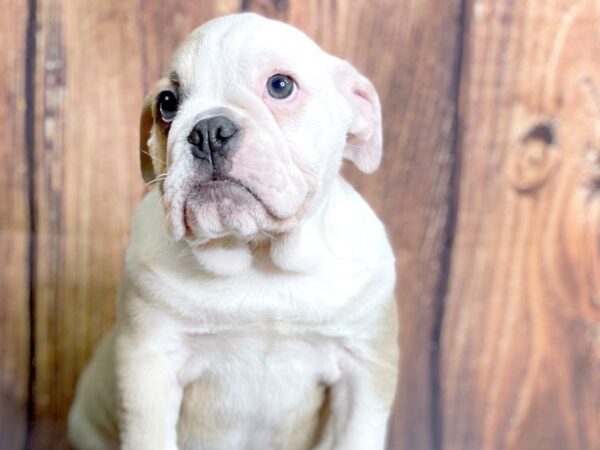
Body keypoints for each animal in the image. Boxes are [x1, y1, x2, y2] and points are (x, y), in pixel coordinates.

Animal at [68, 12, 398, 450]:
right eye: (167, 104)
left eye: (280, 86)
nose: (208, 130)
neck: (256, 255)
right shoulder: (148, 364)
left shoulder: (364, 369)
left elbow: (355, 433)